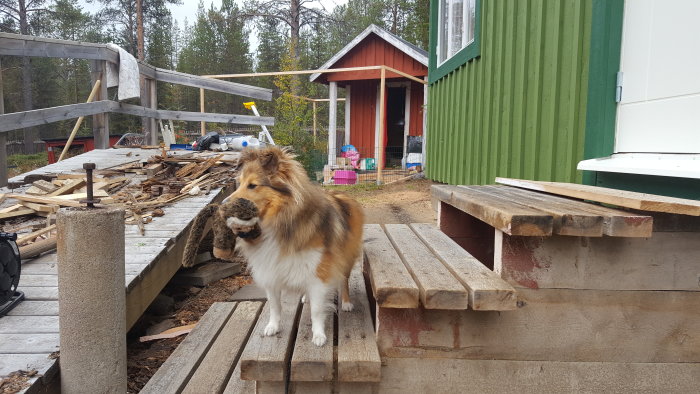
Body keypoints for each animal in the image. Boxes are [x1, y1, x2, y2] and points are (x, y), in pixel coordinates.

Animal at [219, 146, 364, 346]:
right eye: (239, 184)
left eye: (252, 185)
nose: (222, 206)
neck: (281, 221)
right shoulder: (270, 270)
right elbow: (274, 305)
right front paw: (273, 326)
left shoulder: (319, 272)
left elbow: (317, 310)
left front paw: (319, 335)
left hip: (346, 257)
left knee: (344, 280)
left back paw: (347, 302)